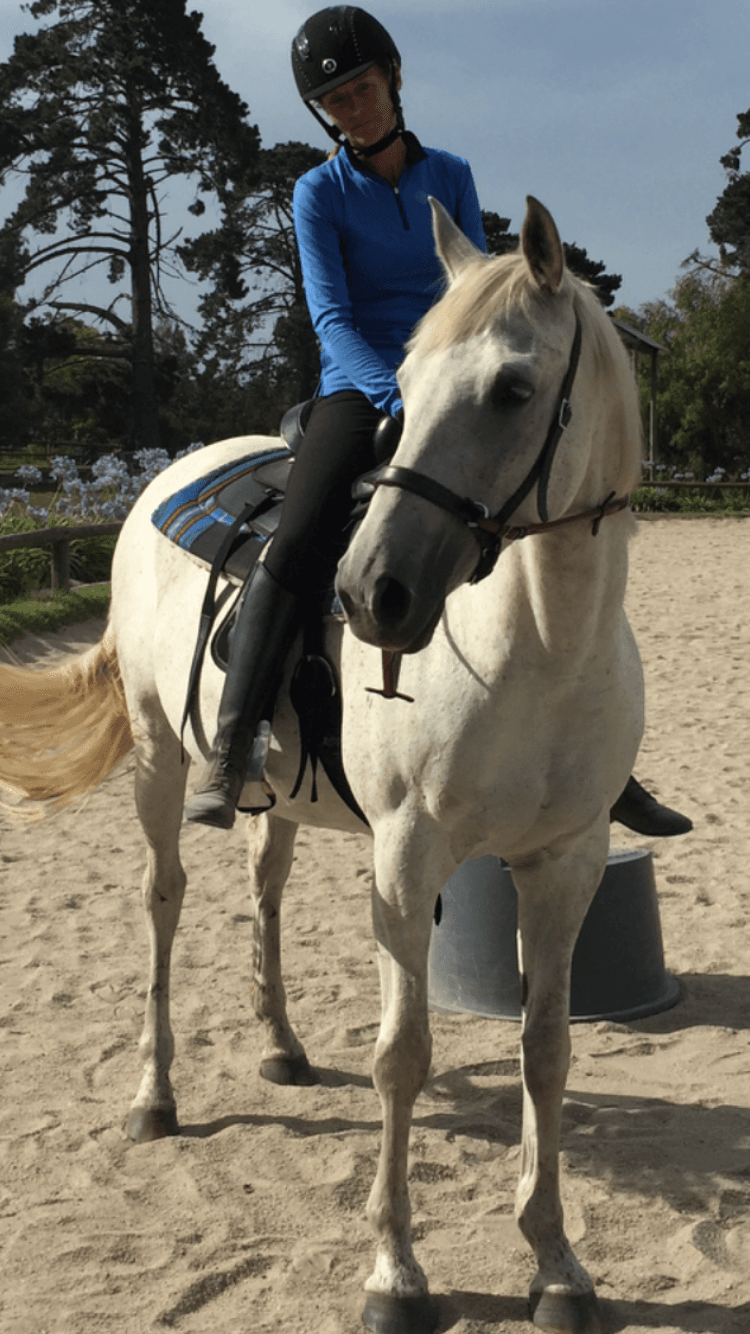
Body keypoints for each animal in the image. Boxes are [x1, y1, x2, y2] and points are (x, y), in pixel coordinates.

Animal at [0, 196, 644, 1334]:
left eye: (512, 389)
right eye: (407, 386)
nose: (369, 591)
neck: (540, 647)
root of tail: (168, 473)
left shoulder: (564, 863)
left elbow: (548, 1051)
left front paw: (557, 1260)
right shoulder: (407, 859)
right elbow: (404, 1054)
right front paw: (395, 1270)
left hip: (278, 796)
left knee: (263, 889)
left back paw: (281, 1045)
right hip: (160, 760)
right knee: (162, 902)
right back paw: (154, 1095)